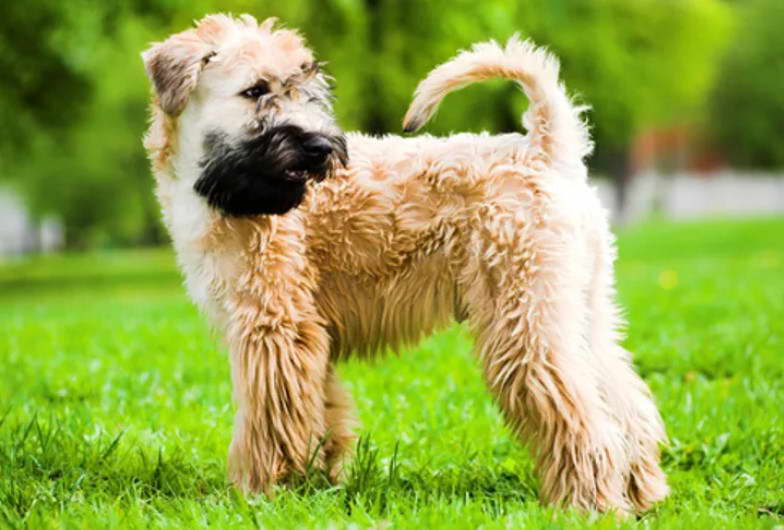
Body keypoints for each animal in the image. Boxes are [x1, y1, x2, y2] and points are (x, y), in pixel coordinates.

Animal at [141, 14, 668, 512]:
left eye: (305, 87)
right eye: (255, 90)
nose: (320, 148)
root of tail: (545, 150)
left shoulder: (273, 326)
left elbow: (267, 419)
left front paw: (256, 491)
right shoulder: (309, 334)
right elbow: (319, 413)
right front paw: (315, 484)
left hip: (523, 322)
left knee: (583, 415)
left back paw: (588, 502)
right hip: (580, 310)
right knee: (624, 404)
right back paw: (642, 493)